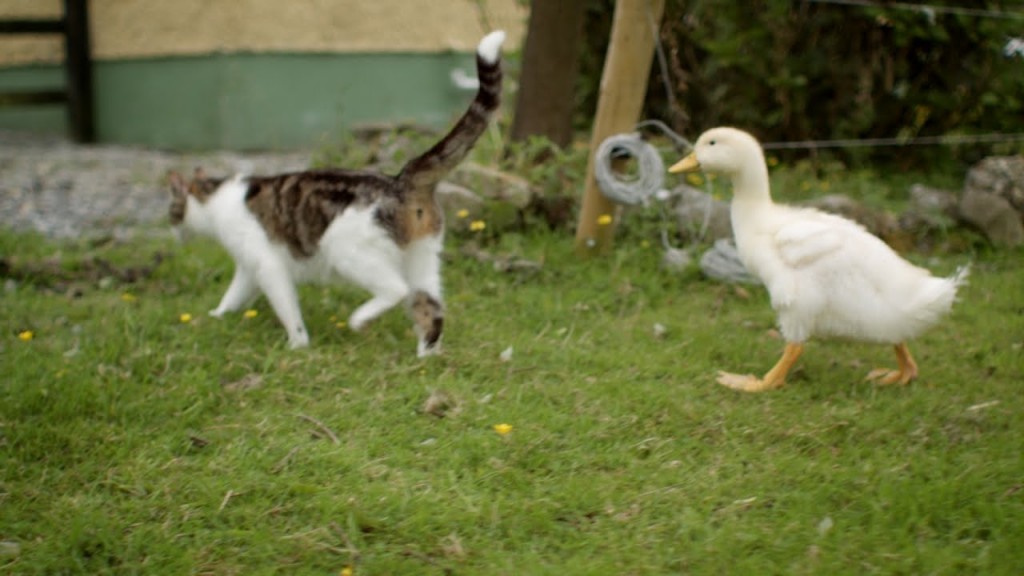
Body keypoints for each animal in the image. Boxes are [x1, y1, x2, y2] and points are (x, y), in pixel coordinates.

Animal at [165, 30, 505, 354]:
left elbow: (287, 309)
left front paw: (297, 345)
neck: (216, 198)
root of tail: (400, 180)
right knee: (430, 308)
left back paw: (359, 320)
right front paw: (216, 316)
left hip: (346, 250)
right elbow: (233, 295)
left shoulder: (267, 264)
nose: (171, 226)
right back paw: (425, 359)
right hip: (423, 255)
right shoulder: (248, 269)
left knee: (397, 289)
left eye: (171, 209)